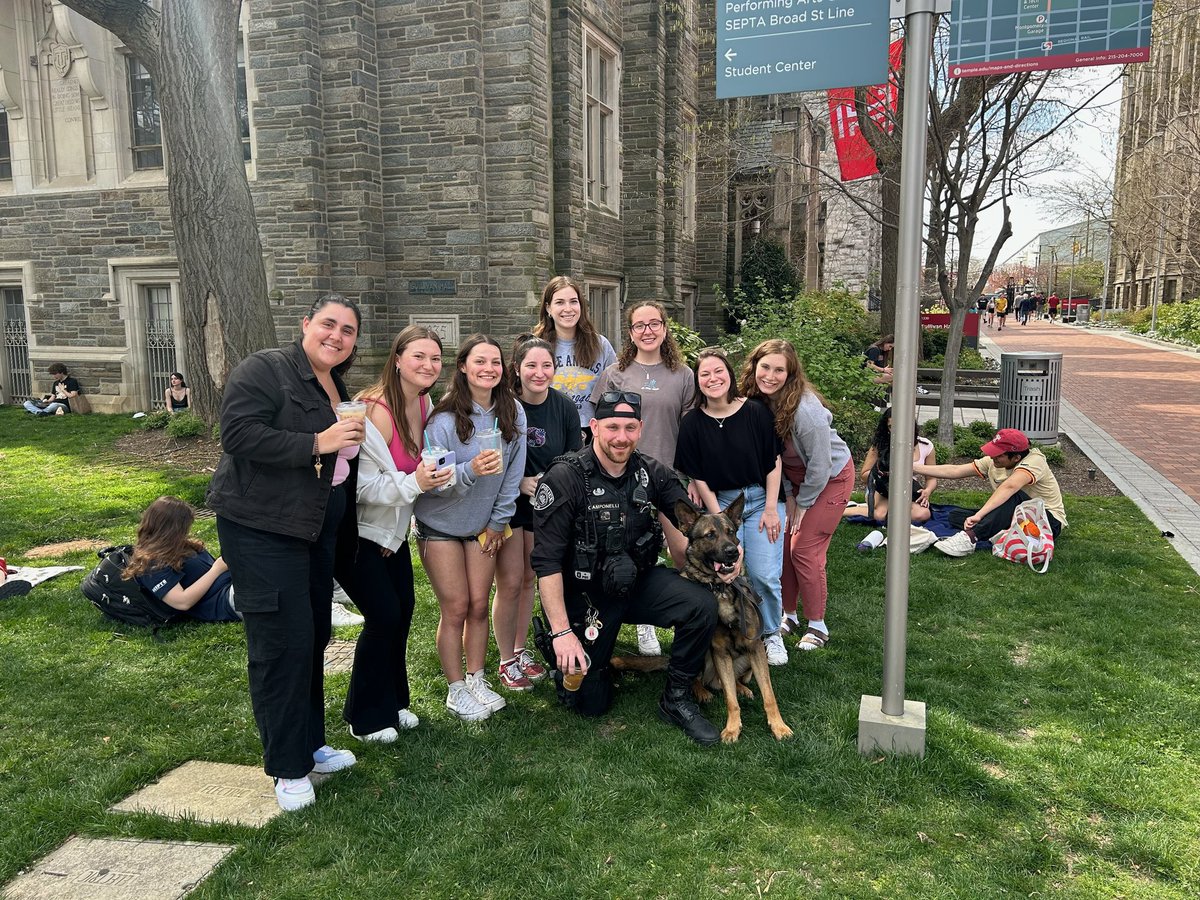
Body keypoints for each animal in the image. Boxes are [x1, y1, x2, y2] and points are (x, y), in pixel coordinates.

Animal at [614, 496, 792, 744]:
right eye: (709, 535)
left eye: (731, 532)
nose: (732, 553)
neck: (721, 588)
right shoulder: (719, 652)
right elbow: (730, 701)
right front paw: (732, 728)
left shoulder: (755, 648)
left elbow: (769, 695)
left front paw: (778, 726)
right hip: (702, 652)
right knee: (699, 679)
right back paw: (702, 691)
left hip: (750, 661)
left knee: (731, 681)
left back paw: (741, 688)